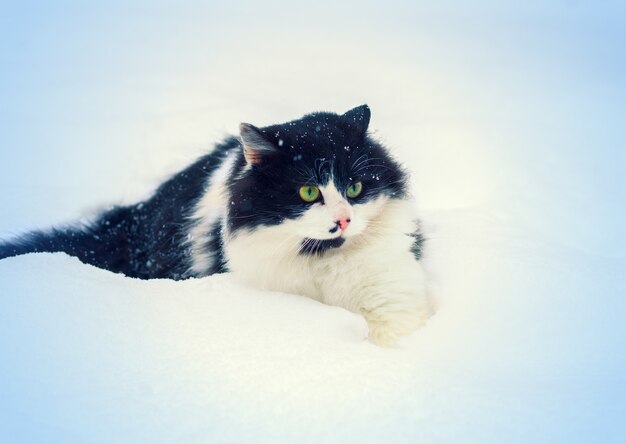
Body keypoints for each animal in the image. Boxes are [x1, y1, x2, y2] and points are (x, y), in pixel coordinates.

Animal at [0, 105, 432, 346]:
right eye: (308, 192)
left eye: (356, 188)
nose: (343, 218)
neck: (323, 261)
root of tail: (132, 222)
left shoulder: (395, 300)